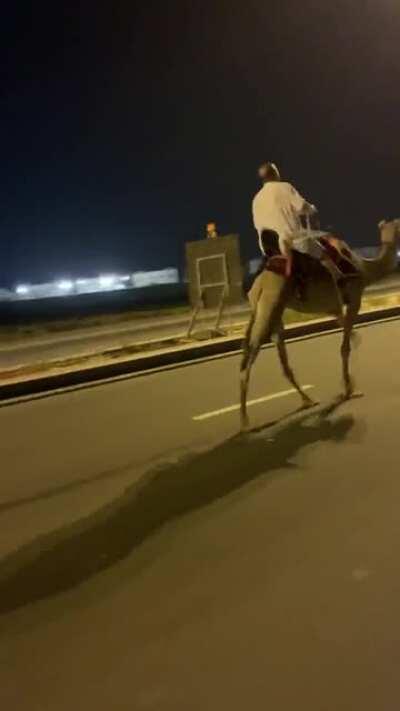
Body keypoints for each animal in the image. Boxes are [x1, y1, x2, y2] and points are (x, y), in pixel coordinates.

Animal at [241, 217, 400, 432]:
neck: (363, 268)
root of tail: (257, 285)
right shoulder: (354, 298)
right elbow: (344, 348)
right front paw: (349, 389)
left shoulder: (334, 307)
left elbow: (347, 334)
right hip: (269, 305)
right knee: (249, 358)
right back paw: (246, 423)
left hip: (273, 311)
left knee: (281, 358)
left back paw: (307, 400)